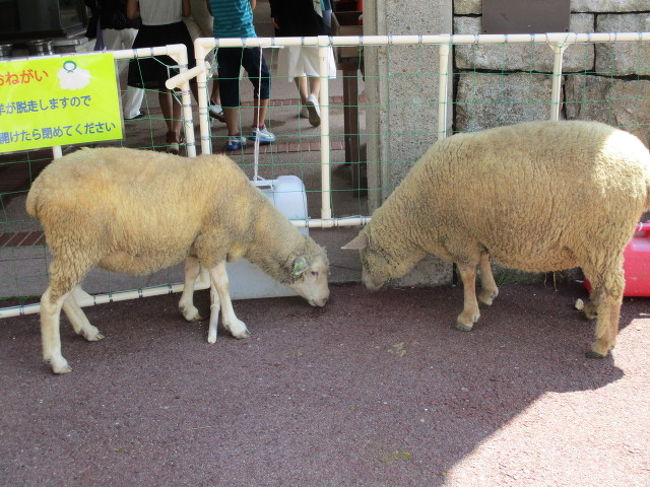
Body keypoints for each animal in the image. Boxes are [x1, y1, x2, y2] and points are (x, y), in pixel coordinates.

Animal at [25, 147, 330, 376]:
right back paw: (57, 360)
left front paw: (187, 309)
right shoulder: (213, 241)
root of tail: (37, 190)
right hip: (77, 240)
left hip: (72, 246)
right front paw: (234, 326)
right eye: (314, 273)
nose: (326, 300)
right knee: (50, 301)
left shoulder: (195, 243)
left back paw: (86, 330)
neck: (252, 219)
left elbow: (190, 274)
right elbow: (223, 285)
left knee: (64, 293)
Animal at [340, 121, 648, 358]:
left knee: (613, 286)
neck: (418, 214)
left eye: (365, 258)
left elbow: (467, 274)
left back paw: (602, 344)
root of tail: (644, 169)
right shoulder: (479, 232)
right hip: (603, 242)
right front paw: (488, 293)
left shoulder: (461, 236)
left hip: (602, 234)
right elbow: (485, 262)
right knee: (604, 281)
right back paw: (592, 310)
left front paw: (467, 316)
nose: (366, 285)